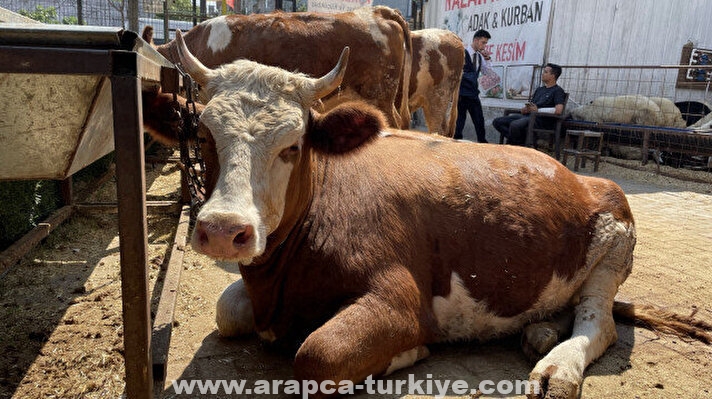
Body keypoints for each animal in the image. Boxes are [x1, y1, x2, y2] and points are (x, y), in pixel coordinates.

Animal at [145, 31, 712, 399]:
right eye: (203, 136)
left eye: (293, 146)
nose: (224, 231)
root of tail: (579, 176)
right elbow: (227, 310)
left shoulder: (397, 297)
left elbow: (318, 354)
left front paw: (407, 353)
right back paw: (540, 331)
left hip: (615, 242)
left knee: (599, 319)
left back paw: (558, 366)